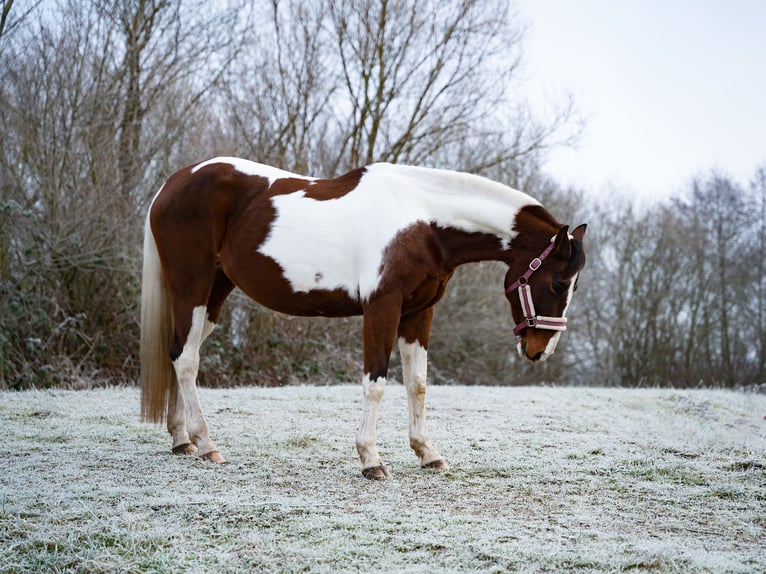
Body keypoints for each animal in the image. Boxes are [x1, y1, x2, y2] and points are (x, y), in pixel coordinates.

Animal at [140, 157, 587, 480]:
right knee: (186, 360)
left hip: (212, 296)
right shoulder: (381, 308)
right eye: (559, 283)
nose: (540, 350)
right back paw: (206, 444)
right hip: (192, 288)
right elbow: (376, 383)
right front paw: (371, 460)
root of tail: (170, 184)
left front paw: (428, 453)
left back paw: (182, 440)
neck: (422, 220)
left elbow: (418, 384)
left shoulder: (418, 314)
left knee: (180, 353)